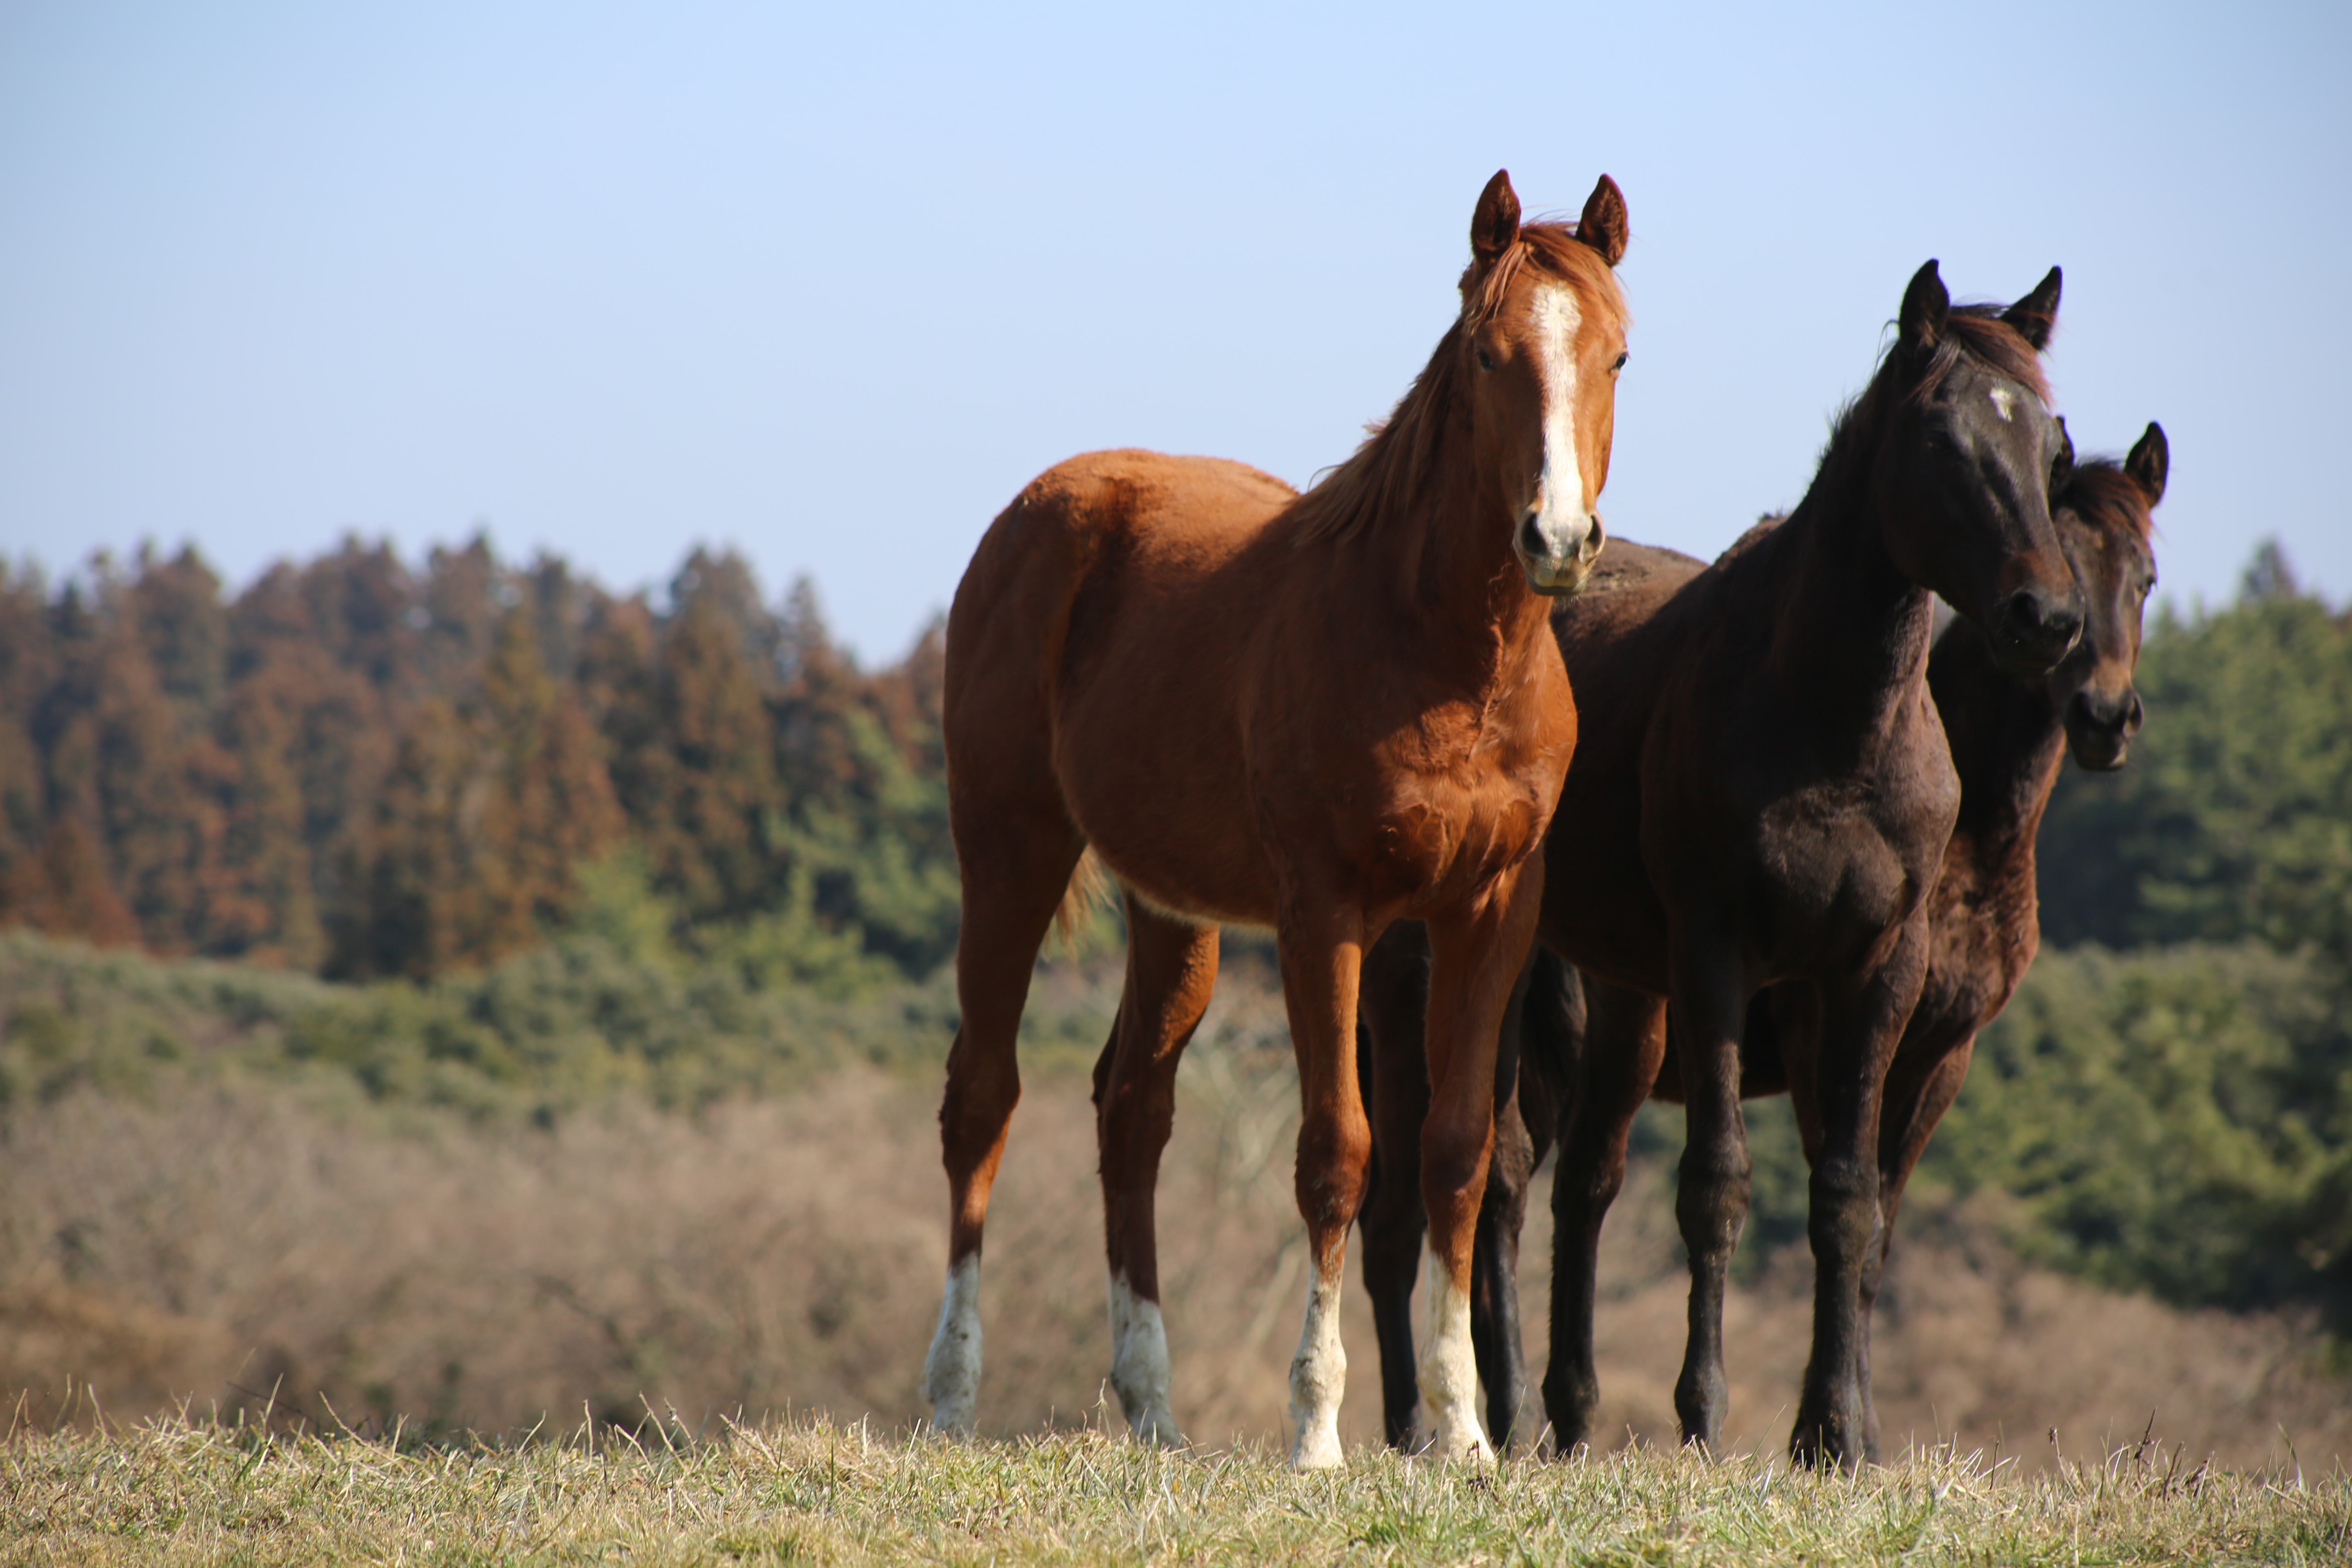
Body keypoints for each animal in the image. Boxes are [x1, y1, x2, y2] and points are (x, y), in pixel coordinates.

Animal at [922, 172, 1637, 1476]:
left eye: (1615, 354)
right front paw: (1316, 1429)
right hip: (1009, 852)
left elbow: (1456, 1152)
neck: (1438, 653)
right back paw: (950, 1395)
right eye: (1488, 355)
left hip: (1175, 913)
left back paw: (1153, 1408)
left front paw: (1463, 1433)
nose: (1557, 540)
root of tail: (1041, 509)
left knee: (1131, 1112)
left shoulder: (1489, 914)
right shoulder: (1327, 916)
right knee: (982, 1098)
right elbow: (1336, 1155)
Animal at [1354, 261, 2088, 1476]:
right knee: (1468, 1179)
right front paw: (1702, 1416)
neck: (1830, 723)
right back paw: (1471, 1418)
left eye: (2054, 444)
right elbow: (1716, 1184)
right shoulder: (1714, 956)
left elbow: (1848, 1200)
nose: (2047, 616)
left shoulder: (1874, 974)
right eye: (1941, 438)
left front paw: (1836, 1433)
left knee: (1543, 1177)